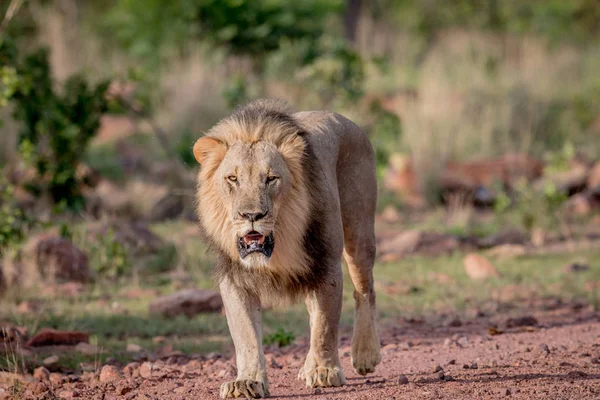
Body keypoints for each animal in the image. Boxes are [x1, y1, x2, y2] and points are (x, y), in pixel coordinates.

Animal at [195, 99, 382, 396]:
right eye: (232, 179)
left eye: (271, 178)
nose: (252, 215)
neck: (280, 239)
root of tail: (346, 120)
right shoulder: (234, 277)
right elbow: (246, 335)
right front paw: (247, 381)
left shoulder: (326, 265)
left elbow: (325, 325)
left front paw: (325, 371)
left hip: (358, 232)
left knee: (365, 289)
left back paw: (365, 354)